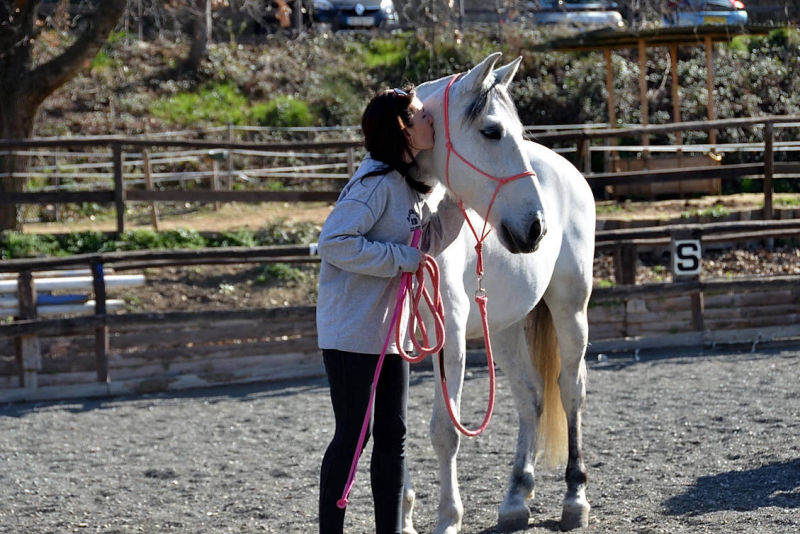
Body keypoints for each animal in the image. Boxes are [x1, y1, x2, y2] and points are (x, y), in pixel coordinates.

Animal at [404, 53, 596, 533]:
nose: (536, 227)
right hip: (505, 328)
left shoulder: (449, 339)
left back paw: (575, 496)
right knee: (531, 398)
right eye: (492, 131)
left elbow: (445, 431)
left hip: (571, 309)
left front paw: (447, 518)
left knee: (570, 390)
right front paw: (403, 515)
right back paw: (515, 498)